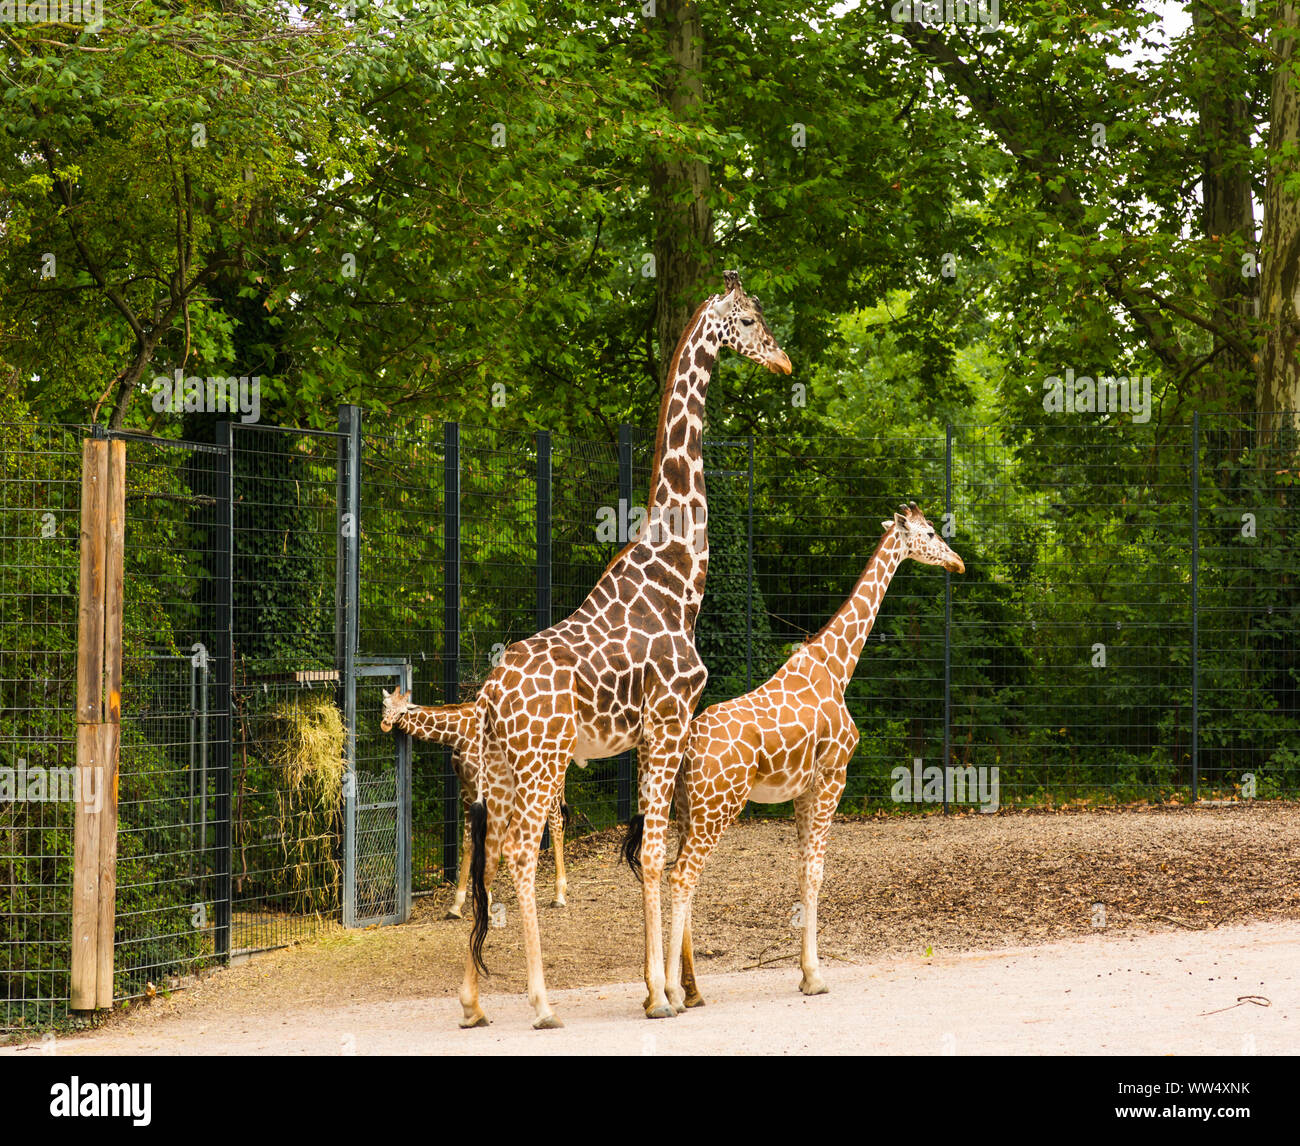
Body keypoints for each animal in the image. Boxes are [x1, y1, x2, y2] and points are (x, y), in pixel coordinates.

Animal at [379, 680, 574, 914]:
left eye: (402, 712)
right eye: (384, 705)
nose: (385, 724)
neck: (457, 735)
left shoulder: (486, 787)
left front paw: (486, 901)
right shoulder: (466, 788)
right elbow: (468, 842)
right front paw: (457, 905)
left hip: (549, 781)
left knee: (555, 824)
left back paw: (559, 895)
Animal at [460, 270, 790, 1029]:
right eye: (749, 319)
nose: (784, 362)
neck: (679, 574)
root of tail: (489, 695)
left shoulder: (659, 733)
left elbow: (656, 847)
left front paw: (667, 987)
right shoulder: (669, 723)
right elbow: (662, 850)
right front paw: (664, 993)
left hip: (502, 769)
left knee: (489, 855)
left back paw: (471, 1003)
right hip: (541, 762)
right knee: (519, 855)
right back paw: (542, 1003)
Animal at [665, 498, 961, 1008]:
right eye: (927, 534)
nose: (957, 562)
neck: (838, 666)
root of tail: (689, 747)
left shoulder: (803, 790)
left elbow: (802, 873)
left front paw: (805, 973)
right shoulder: (832, 778)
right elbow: (816, 874)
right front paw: (814, 975)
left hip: (689, 809)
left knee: (679, 877)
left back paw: (692, 989)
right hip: (718, 806)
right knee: (682, 876)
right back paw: (666, 994)